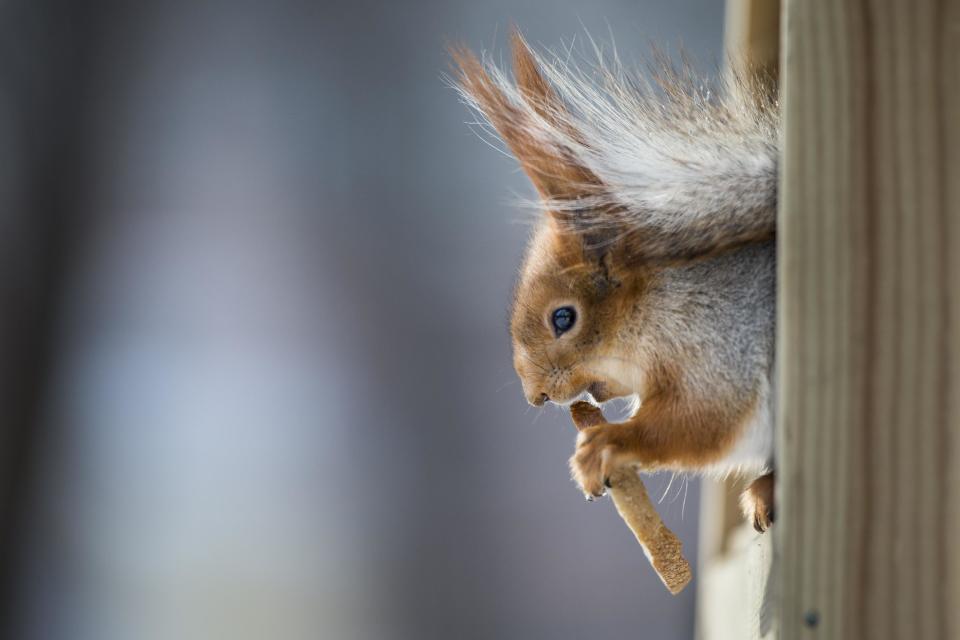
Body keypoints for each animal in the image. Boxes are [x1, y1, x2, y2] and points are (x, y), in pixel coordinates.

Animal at [452, 30, 780, 532]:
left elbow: (700, 423)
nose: (536, 396)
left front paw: (606, 445)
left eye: (563, 318)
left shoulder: (719, 345)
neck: (655, 308)